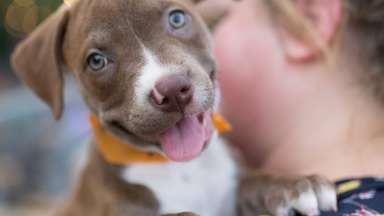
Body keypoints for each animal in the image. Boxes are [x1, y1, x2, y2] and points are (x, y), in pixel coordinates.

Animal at [10, 0, 338, 216]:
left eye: (177, 18)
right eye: (97, 60)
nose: (172, 90)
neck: (180, 168)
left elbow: (247, 182)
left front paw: (294, 185)